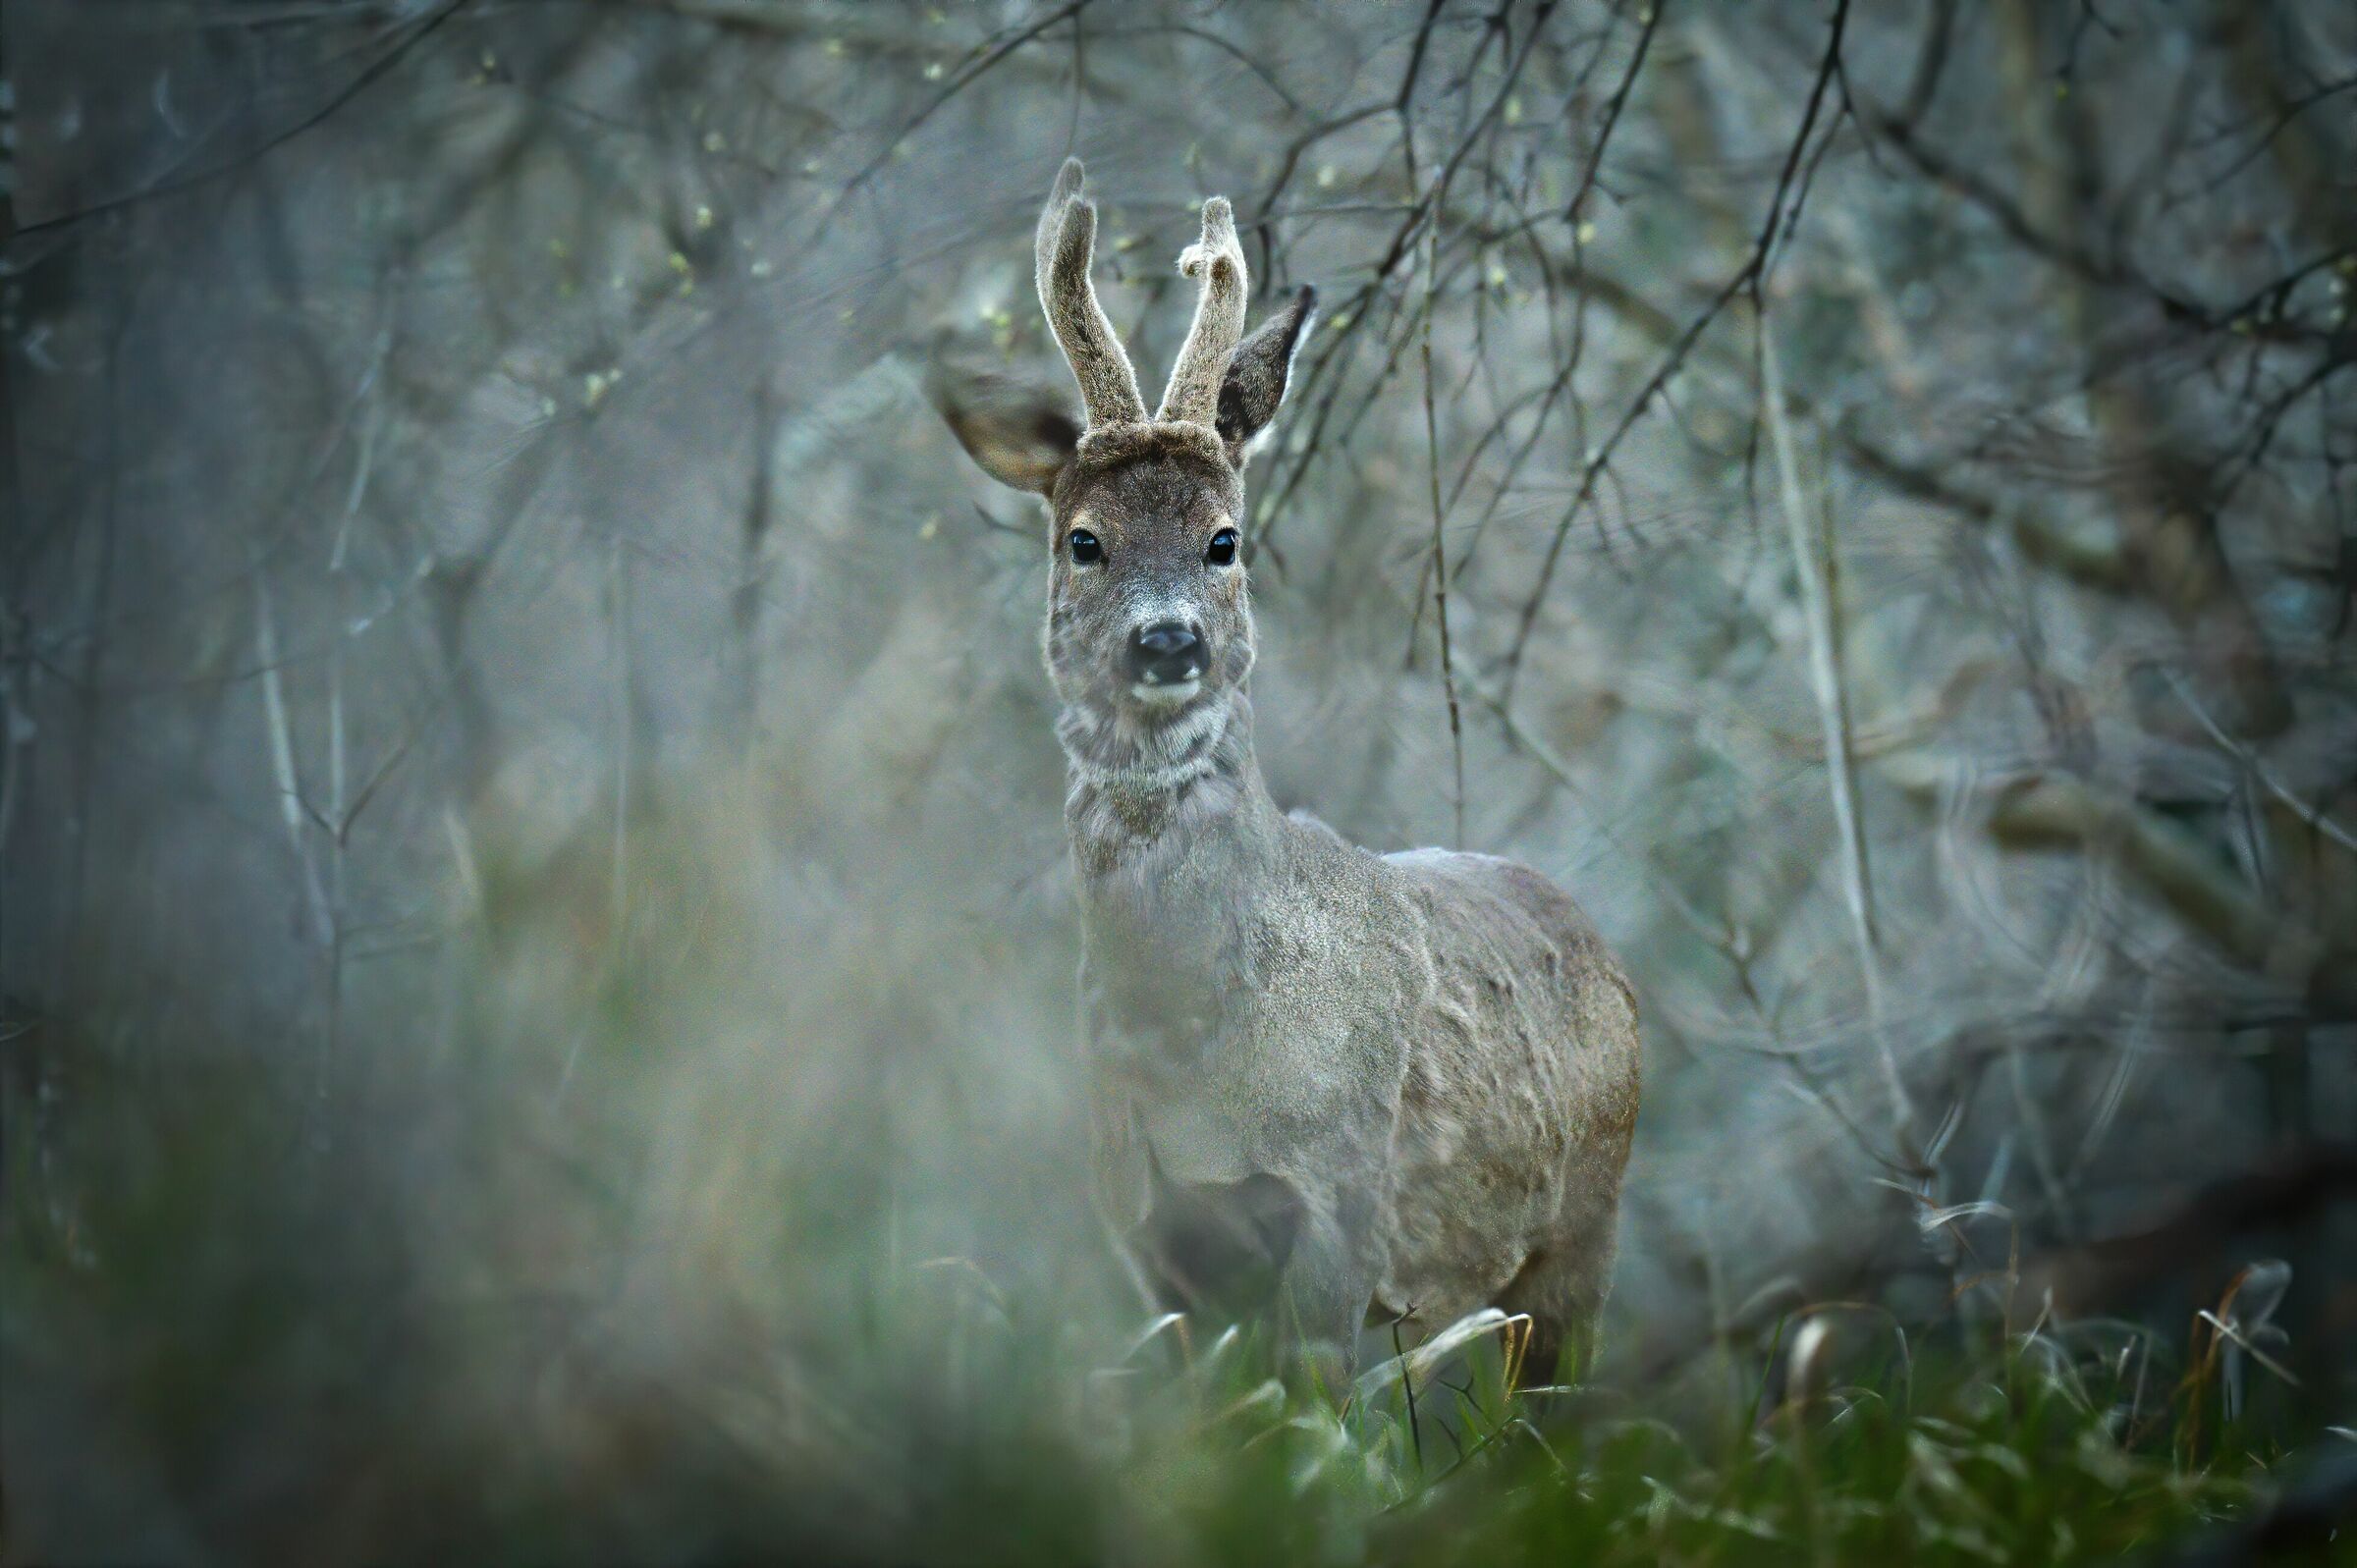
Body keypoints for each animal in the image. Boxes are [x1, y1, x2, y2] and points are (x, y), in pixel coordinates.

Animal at [935, 159, 1640, 1385]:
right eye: (1083, 539)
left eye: (1224, 539)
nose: (1167, 641)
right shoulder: (1144, 1220)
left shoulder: (1343, 1191)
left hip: (1583, 1232)